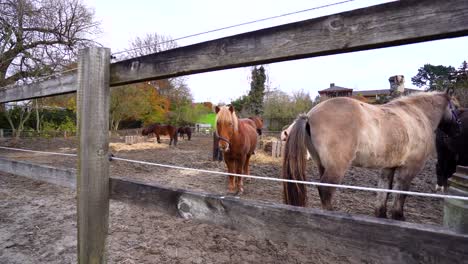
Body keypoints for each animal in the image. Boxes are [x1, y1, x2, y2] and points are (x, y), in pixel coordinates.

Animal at [284, 91, 458, 221]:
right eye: (455, 107)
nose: (458, 128)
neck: (417, 116)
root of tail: (309, 115)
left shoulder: (388, 167)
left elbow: (384, 190)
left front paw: (381, 214)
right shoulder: (409, 169)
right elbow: (401, 193)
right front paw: (398, 217)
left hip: (322, 165)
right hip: (337, 168)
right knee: (325, 189)